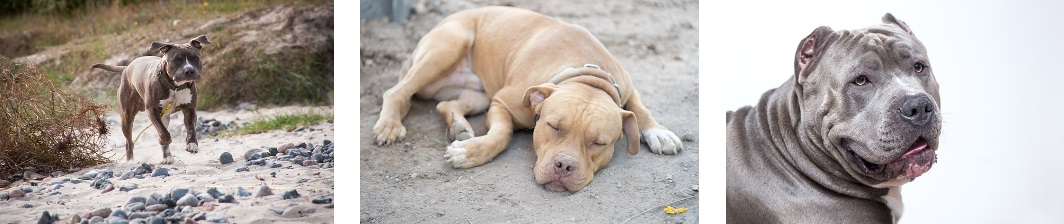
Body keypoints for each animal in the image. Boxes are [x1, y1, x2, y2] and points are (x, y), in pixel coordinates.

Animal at [91, 35, 211, 164]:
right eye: (177, 59)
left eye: (195, 58)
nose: (189, 70)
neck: (174, 87)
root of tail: (127, 67)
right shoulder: (152, 110)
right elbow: (163, 133)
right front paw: (163, 140)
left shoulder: (190, 108)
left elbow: (191, 129)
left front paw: (192, 144)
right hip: (126, 117)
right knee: (129, 142)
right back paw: (131, 160)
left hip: (164, 117)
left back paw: (167, 157)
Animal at [374, 7, 685, 192]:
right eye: (553, 126)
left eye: (598, 143)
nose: (564, 166)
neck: (587, 75)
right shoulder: (502, 102)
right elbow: (503, 134)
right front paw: (470, 153)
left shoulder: (627, 87)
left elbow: (639, 109)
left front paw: (658, 131)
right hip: (448, 45)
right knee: (397, 92)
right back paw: (390, 125)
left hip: (478, 94)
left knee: (445, 103)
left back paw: (460, 127)